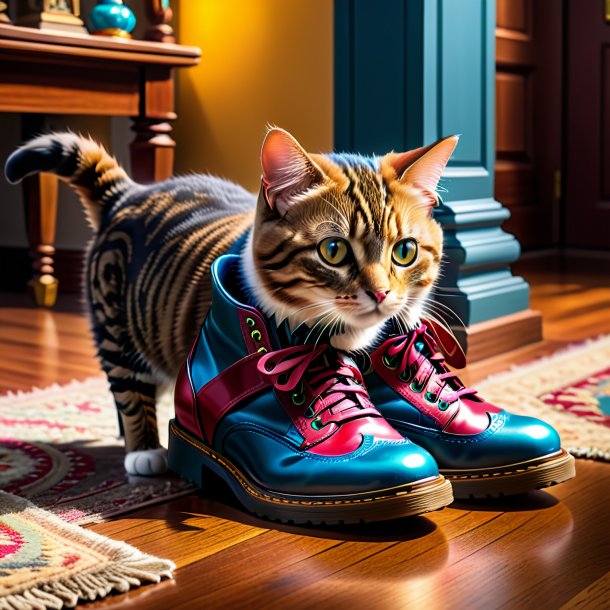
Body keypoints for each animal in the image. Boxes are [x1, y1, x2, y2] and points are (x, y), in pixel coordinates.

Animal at [3, 126, 452, 472]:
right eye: (334, 250)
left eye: (405, 251)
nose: (380, 293)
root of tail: (130, 192)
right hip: (115, 317)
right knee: (128, 382)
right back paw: (142, 448)